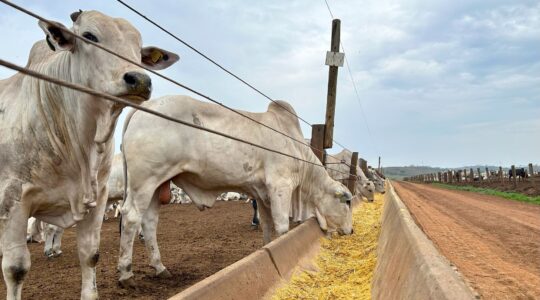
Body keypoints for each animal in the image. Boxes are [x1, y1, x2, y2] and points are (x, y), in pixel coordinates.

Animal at [0, 10, 178, 298]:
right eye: (89, 36)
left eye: (139, 51)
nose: (140, 80)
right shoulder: (14, 199)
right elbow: (16, 268)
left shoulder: (98, 198)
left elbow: (90, 254)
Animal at [118, 95, 354, 288]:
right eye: (347, 201)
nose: (351, 231)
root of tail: (144, 106)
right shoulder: (280, 186)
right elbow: (282, 227)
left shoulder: (262, 195)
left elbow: (267, 227)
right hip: (145, 181)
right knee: (131, 217)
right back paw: (126, 274)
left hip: (157, 185)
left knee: (149, 222)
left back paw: (160, 268)